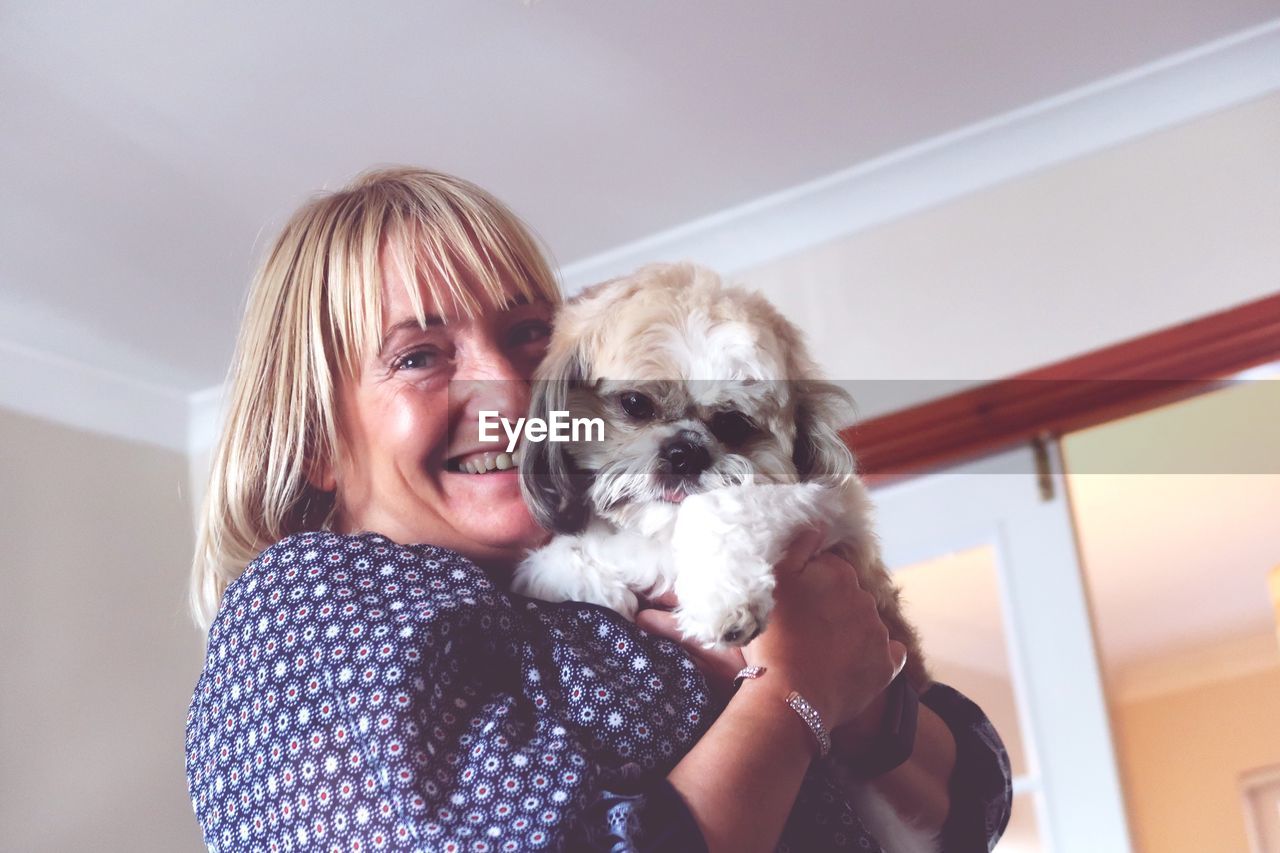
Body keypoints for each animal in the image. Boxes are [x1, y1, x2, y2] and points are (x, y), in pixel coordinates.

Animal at [512, 262, 942, 845]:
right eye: (635, 404)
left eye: (734, 424)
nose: (685, 451)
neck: (658, 537)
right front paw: (569, 577)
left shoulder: (821, 508)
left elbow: (719, 509)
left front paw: (723, 601)